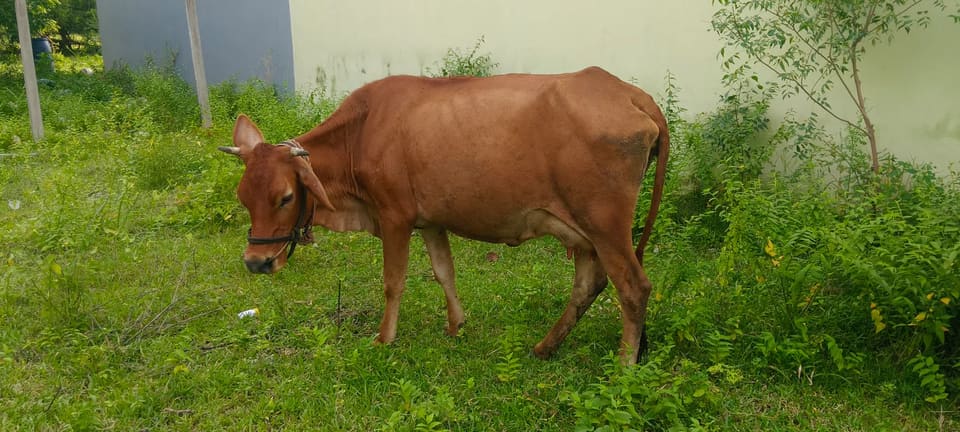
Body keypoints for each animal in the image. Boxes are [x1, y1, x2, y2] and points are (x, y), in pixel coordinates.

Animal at [218, 66, 669, 364]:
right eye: (243, 198)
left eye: (285, 197)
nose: (256, 262)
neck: (361, 132)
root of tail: (629, 93)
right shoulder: (431, 220)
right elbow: (444, 272)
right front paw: (456, 325)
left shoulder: (395, 216)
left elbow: (393, 282)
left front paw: (385, 338)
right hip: (584, 231)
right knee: (588, 285)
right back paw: (546, 346)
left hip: (605, 225)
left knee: (633, 288)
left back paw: (623, 367)